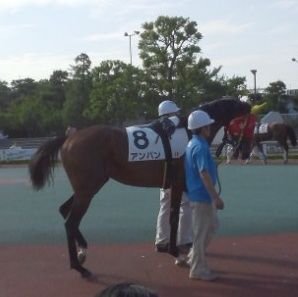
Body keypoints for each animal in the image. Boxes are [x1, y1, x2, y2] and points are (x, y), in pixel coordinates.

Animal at [29, 97, 250, 278]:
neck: (189, 131)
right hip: (87, 190)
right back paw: (79, 266)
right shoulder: (178, 183)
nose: (246, 150)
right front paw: (176, 253)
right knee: (70, 222)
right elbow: (173, 217)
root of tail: (69, 138)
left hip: (87, 188)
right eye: (245, 123)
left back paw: (82, 250)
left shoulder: (183, 186)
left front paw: (185, 249)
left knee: (64, 211)